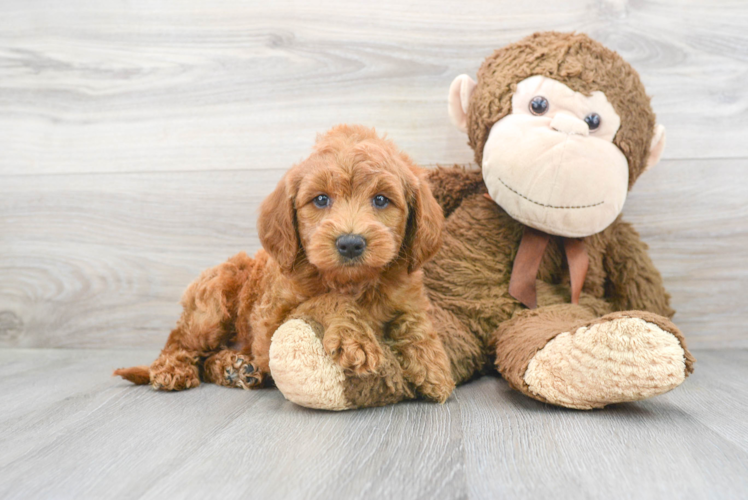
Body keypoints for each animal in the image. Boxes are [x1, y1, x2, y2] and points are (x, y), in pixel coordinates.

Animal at [115, 124, 456, 402]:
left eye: (381, 200)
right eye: (321, 199)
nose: (350, 243)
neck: (351, 281)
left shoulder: (406, 292)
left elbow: (413, 318)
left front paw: (432, 361)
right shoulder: (270, 326)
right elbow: (326, 300)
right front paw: (356, 338)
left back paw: (235, 368)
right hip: (212, 305)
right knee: (181, 342)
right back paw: (173, 369)